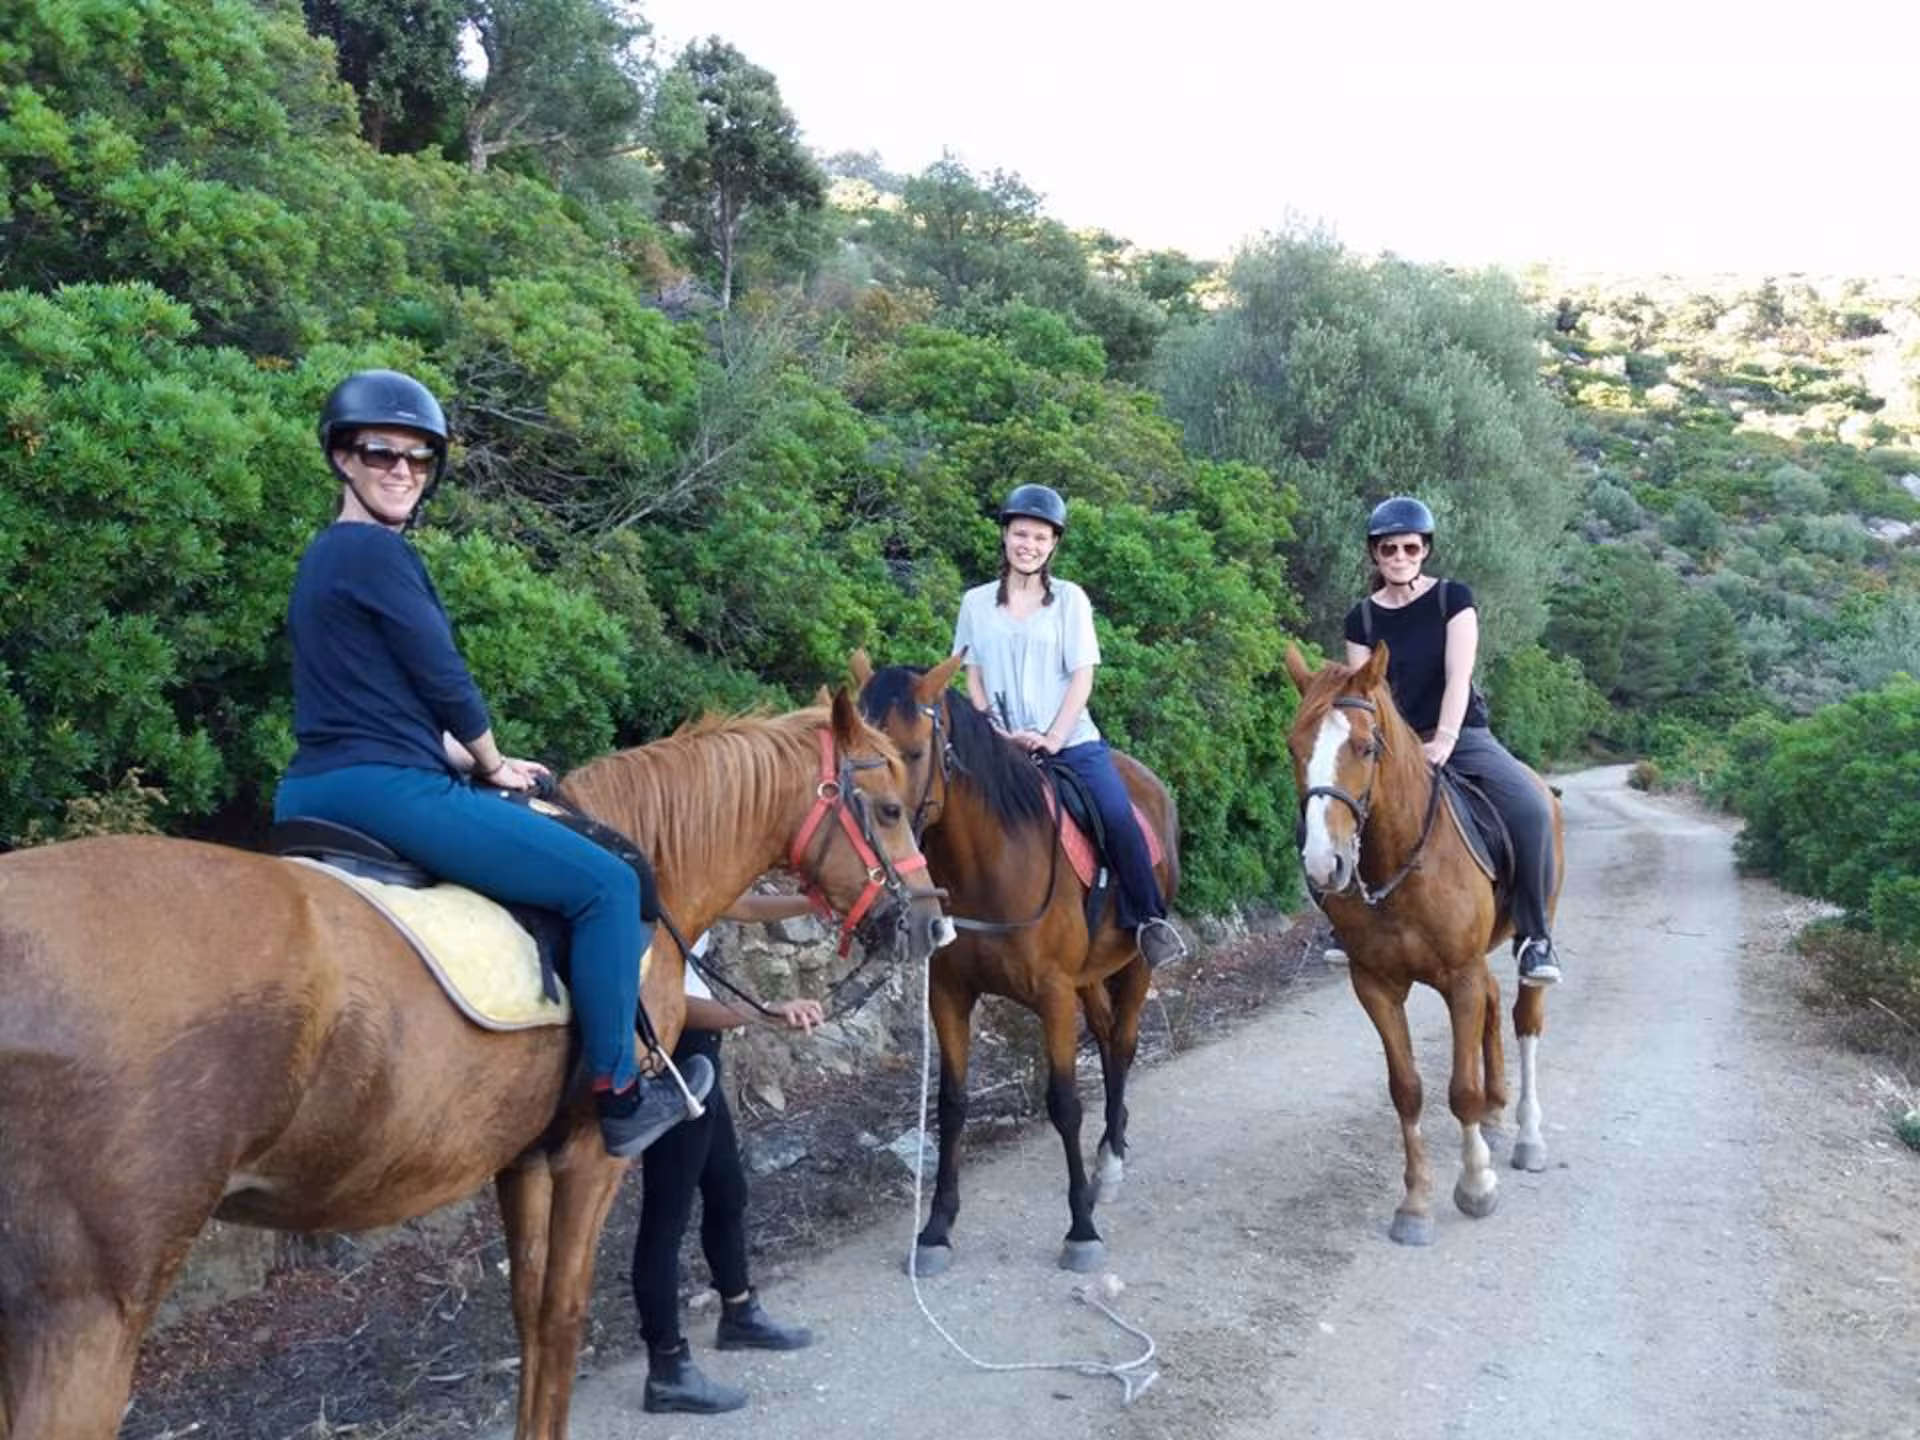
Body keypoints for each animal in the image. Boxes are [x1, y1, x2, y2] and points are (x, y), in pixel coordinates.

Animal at [0, 691, 946, 1440]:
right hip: (85, 1317)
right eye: (886, 808)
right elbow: (563, 1317)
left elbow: (526, 1316)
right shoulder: (591, 1157)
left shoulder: (519, 1159)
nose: (932, 923)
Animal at [852, 651, 1182, 1275]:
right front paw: (936, 1229)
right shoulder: (949, 995)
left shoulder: (1052, 994)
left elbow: (1064, 1104)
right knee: (1108, 1038)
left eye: (911, 753)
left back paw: (1111, 1162)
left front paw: (1081, 1229)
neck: (990, 865)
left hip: (1134, 964)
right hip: (1090, 977)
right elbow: (952, 1105)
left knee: (1124, 1042)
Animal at [1283, 643, 1563, 1245]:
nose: (1322, 863)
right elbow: (1407, 1088)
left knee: (1524, 1019)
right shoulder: (1376, 986)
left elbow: (1460, 1088)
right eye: (1294, 746)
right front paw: (1414, 1204)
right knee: (1492, 1006)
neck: (1402, 860)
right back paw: (1497, 1117)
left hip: (1529, 935)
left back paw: (1527, 1137)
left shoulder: (1458, 976)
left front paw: (1476, 1185)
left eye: (1365, 746)